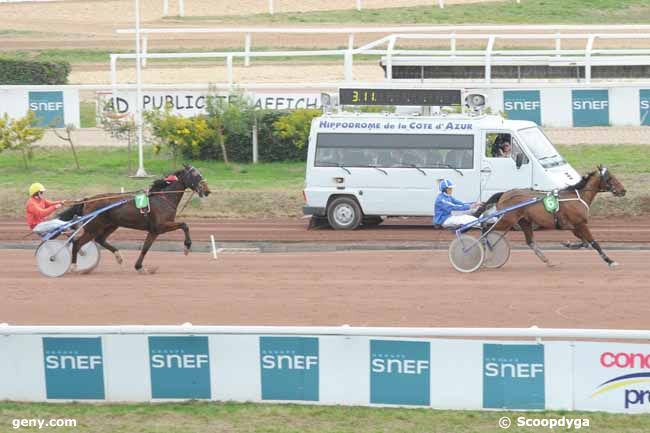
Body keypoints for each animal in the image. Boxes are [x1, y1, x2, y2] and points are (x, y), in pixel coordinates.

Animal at [59, 165, 209, 274]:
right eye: (195, 175)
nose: (207, 190)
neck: (164, 198)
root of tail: (87, 200)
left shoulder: (154, 231)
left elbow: (145, 248)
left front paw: (139, 267)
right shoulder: (160, 226)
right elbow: (184, 225)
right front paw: (187, 247)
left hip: (110, 225)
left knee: (100, 240)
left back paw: (118, 256)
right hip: (93, 228)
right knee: (77, 243)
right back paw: (73, 267)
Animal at [474, 165, 624, 266]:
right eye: (610, 178)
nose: (623, 190)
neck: (577, 197)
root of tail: (504, 194)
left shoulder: (574, 226)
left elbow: (585, 242)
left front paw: (569, 244)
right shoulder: (580, 224)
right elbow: (594, 243)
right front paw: (610, 261)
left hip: (524, 221)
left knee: (530, 242)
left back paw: (547, 260)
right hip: (507, 219)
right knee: (486, 228)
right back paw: (484, 244)